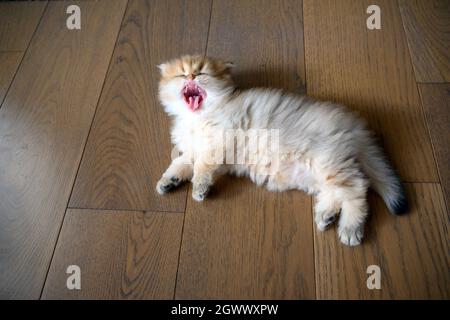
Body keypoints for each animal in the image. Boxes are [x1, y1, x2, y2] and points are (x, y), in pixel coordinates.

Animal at [156, 55, 410, 246]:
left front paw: (199, 189)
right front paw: (168, 182)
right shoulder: (193, 150)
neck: (198, 117)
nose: (191, 77)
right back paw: (326, 216)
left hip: (329, 161)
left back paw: (349, 228)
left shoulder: (219, 139)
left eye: (202, 73)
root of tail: (355, 125)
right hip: (321, 172)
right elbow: (180, 164)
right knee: (337, 192)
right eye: (181, 75)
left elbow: (201, 168)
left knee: (357, 189)